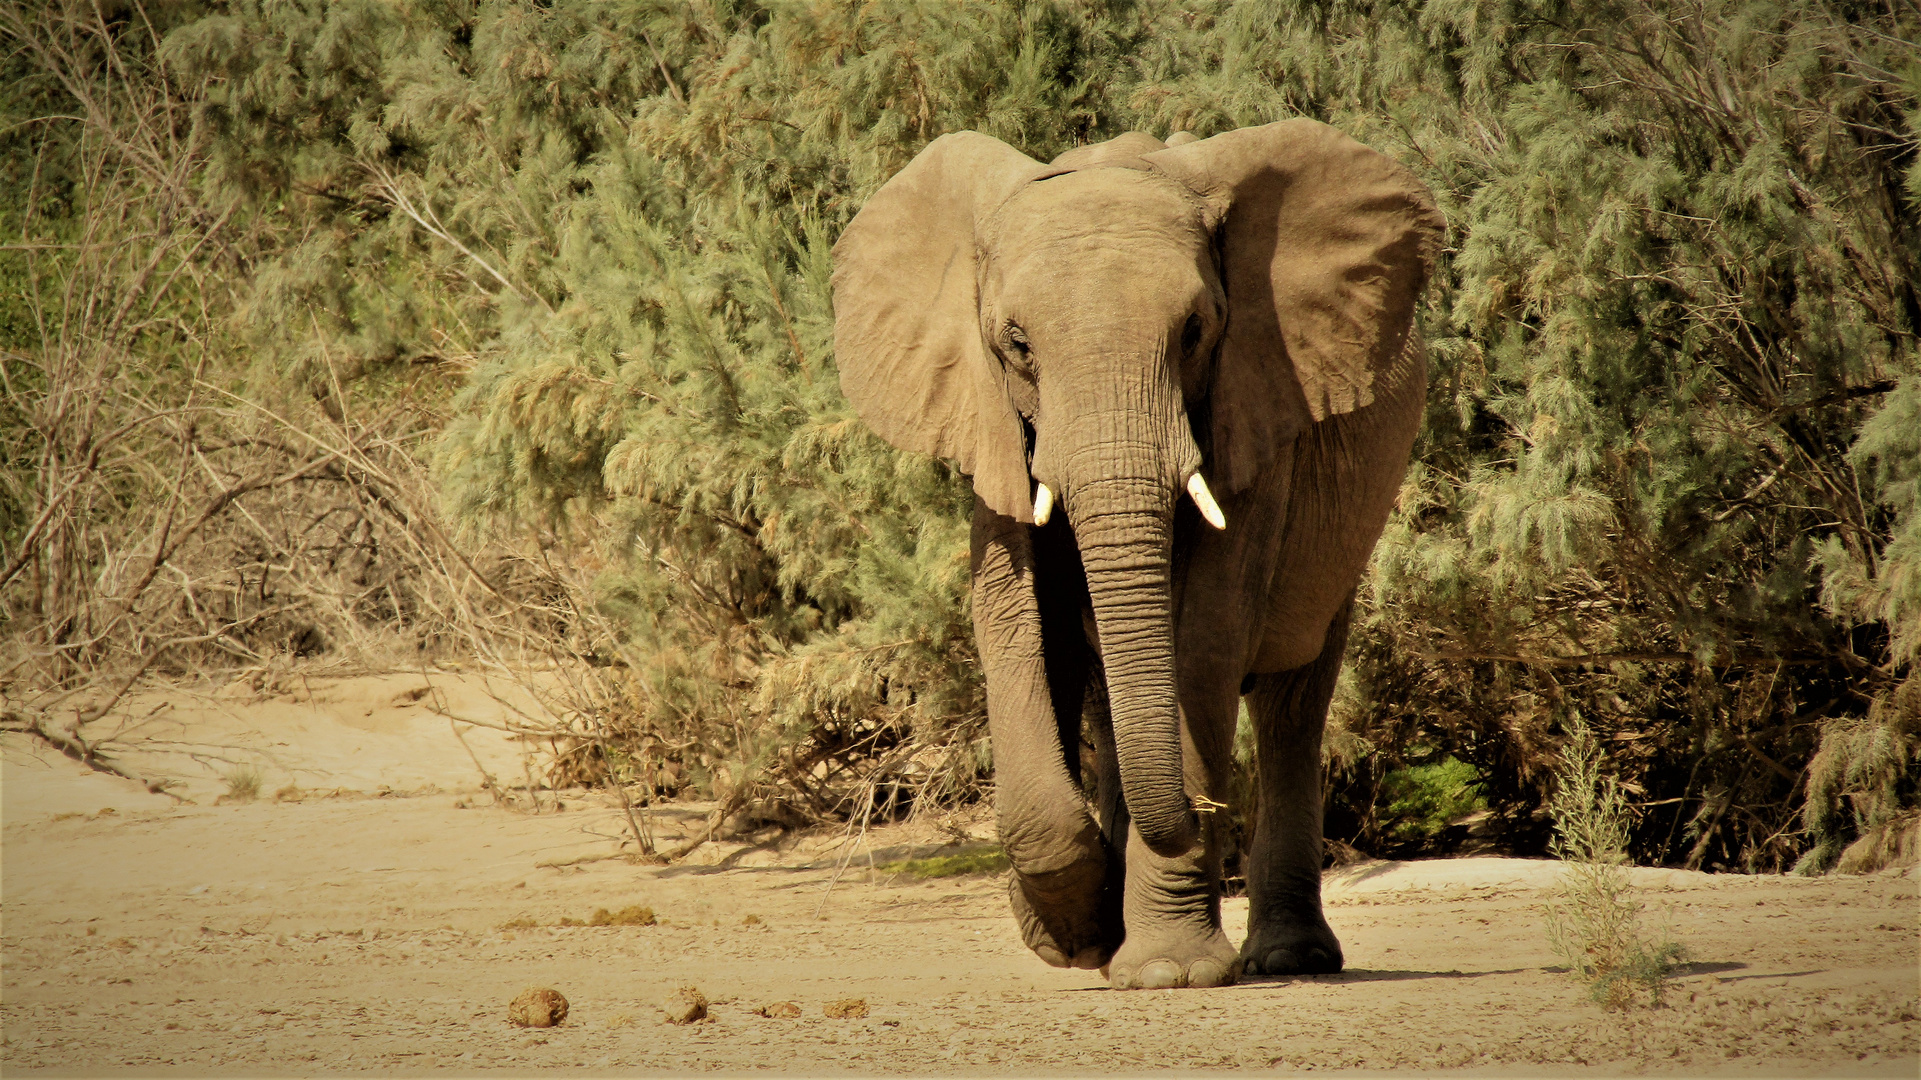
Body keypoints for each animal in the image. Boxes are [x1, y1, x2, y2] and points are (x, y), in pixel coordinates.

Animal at [826, 117, 1444, 983]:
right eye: (1015, 344)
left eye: (1194, 332)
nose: (1201, 810)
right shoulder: (993, 429)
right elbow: (1018, 627)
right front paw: (1073, 934)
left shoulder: (1256, 408)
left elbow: (1204, 643)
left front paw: (1165, 971)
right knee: (1114, 705)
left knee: (1290, 697)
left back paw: (1284, 957)